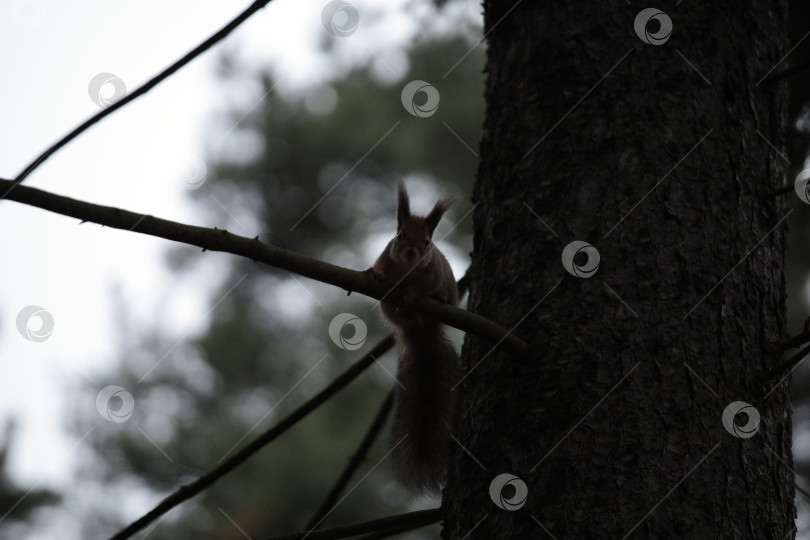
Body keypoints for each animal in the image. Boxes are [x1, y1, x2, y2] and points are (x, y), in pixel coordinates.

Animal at [368, 181, 458, 494]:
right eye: (399, 235)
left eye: (428, 242)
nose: (410, 252)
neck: (406, 269)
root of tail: (419, 333)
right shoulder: (385, 256)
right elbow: (379, 269)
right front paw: (374, 274)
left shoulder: (431, 273)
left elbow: (421, 288)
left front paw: (410, 294)